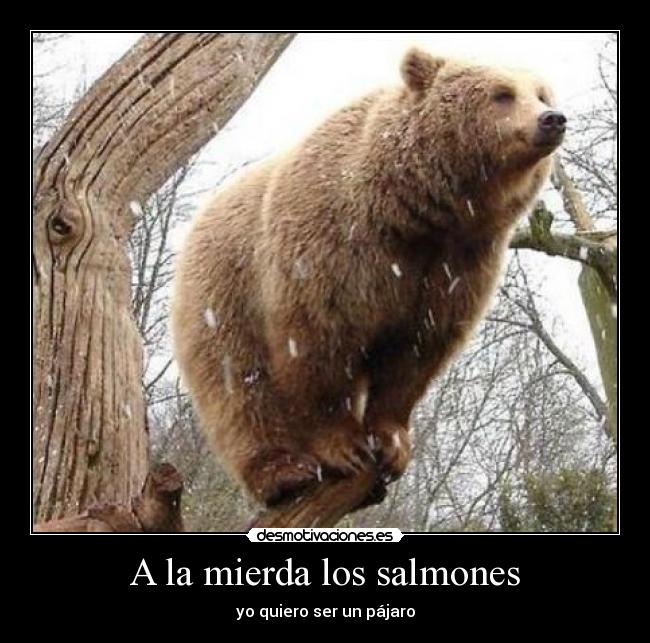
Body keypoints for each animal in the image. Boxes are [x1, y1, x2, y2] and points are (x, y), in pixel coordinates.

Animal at [170, 47, 566, 507]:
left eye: (541, 93)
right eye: (502, 94)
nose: (553, 118)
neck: (416, 214)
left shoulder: (457, 267)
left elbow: (415, 353)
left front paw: (390, 442)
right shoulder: (331, 249)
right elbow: (317, 342)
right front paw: (344, 447)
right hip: (224, 292)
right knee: (239, 385)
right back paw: (282, 471)